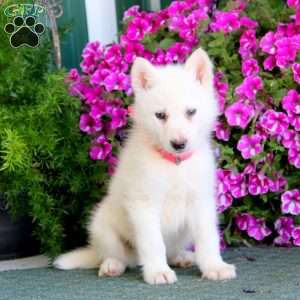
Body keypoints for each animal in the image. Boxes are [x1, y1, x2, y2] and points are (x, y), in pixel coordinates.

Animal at [54, 48, 237, 284]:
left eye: (191, 112)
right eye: (160, 115)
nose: (179, 144)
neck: (174, 164)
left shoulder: (201, 201)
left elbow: (208, 238)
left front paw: (214, 266)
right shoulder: (143, 204)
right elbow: (153, 243)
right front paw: (158, 271)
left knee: (171, 250)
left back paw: (182, 256)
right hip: (103, 226)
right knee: (118, 255)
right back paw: (112, 265)